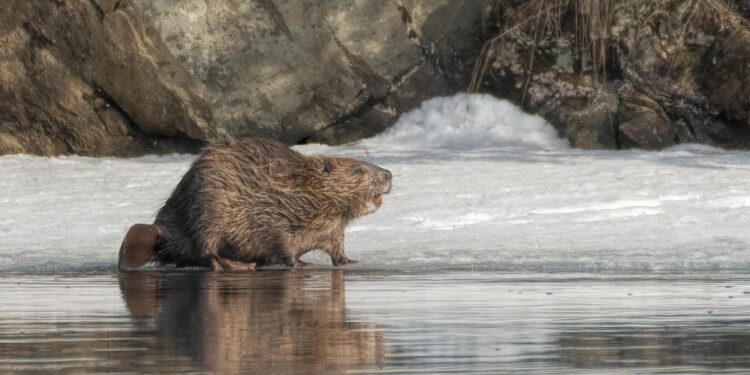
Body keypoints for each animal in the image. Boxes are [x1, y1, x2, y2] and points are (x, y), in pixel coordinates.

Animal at [117, 140, 394, 272]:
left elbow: (337, 247)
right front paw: (302, 264)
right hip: (208, 207)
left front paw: (350, 261)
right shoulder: (272, 212)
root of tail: (163, 235)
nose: (389, 174)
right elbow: (281, 242)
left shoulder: (333, 228)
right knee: (206, 249)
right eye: (358, 169)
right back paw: (238, 264)